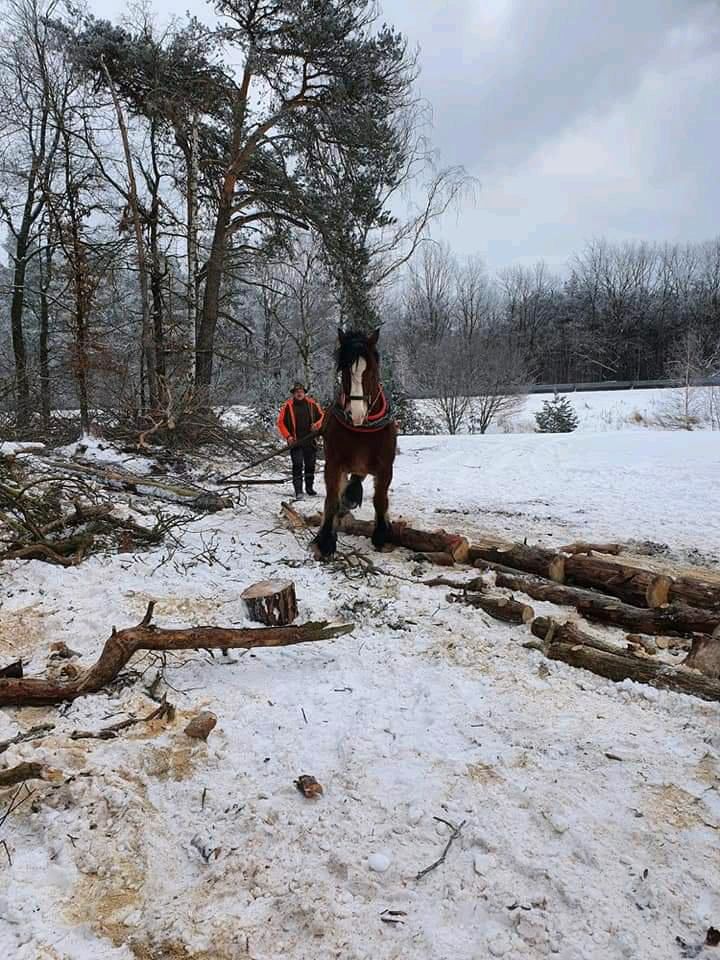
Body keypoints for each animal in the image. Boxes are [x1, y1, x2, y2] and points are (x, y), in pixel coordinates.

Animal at [310, 328, 400, 560]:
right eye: (344, 371)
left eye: (372, 370)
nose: (357, 413)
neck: (362, 429)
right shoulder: (334, 464)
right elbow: (332, 499)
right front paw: (325, 541)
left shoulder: (385, 467)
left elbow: (380, 499)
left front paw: (381, 535)